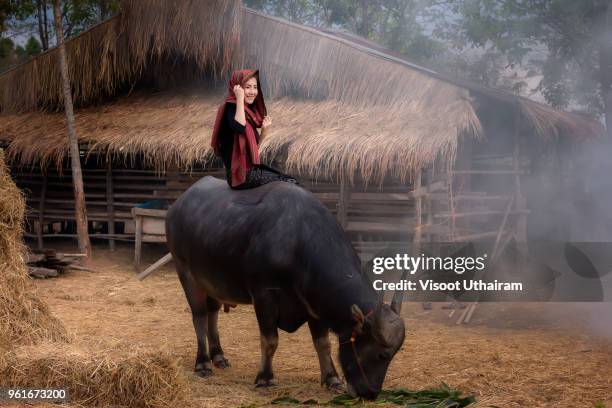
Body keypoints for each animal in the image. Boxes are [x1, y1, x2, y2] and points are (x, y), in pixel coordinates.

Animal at [166, 176, 406, 398]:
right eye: (382, 354)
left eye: (394, 354)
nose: (370, 393)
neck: (299, 242)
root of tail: (176, 208)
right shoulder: (264, 295)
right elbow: (270, 340)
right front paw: (264, 378)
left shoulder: (313, 304)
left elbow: (323, 343)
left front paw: (331, 378)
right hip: (186, 273)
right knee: (199, 317)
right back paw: (203, 363)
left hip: (213, 282)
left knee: (212, 313)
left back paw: (218, 357)